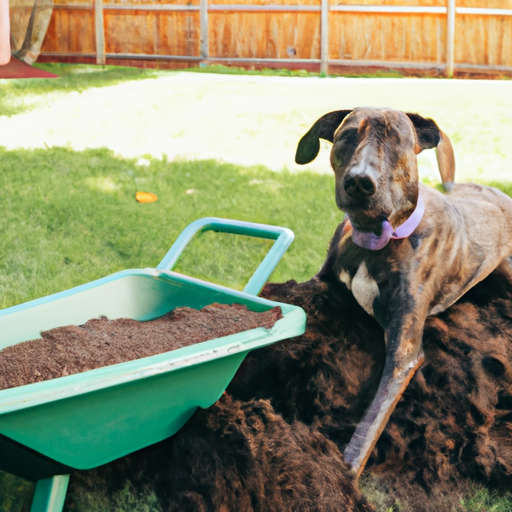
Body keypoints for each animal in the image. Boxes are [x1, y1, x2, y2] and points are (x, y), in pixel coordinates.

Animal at [296, 106, 512, 478]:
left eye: (398, 139)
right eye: (347, 135)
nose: (360, 181)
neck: (373, 241)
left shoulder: (403, 352)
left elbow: (371, 423)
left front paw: (345, 472)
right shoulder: (322, 281)